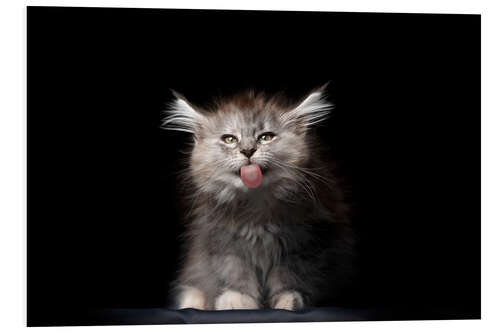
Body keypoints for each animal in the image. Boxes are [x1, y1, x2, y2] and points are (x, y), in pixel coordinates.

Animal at [162, 85, 354, 308]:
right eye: (230, 139)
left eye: (266, 137)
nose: (248, 150)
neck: (255, 213)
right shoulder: (224, 245)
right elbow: (236, 275)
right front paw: (236, 300)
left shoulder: (301, 246)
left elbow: (288, 278)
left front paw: (288, 301)